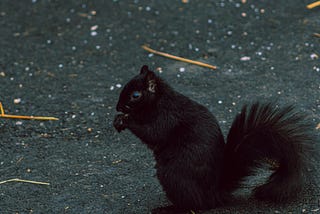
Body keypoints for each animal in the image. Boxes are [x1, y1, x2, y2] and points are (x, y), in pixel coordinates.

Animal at [113, 66, 316, 213]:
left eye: (135, 95)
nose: (118, 107)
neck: (158, 100)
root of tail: (215, 193)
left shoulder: (168, 116)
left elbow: (153, 133)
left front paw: (126, 120)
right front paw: (118, 119)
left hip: (173, 175)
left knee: (197, 206)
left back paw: (168, 209)